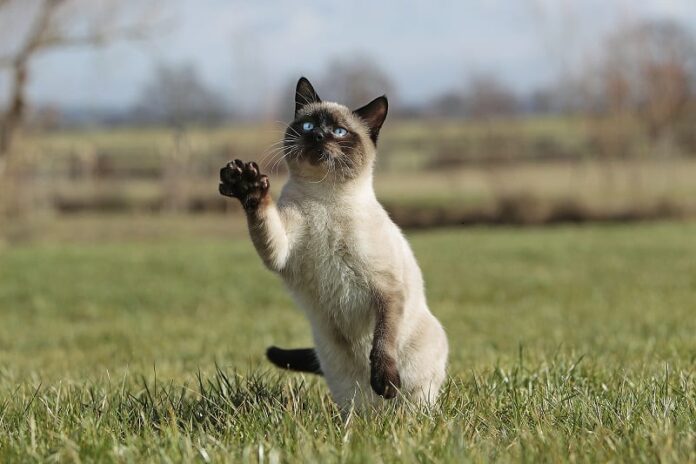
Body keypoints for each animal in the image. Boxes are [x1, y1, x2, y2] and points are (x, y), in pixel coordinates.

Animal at [218, 77, 448, 410]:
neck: (325, 197)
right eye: (308, 125)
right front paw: (246, 185)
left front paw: (384, 380)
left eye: (339, 132)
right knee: (358, 408)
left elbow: (382, 341)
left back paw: (397, 406)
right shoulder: (281, 249)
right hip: (342, 380)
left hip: (418, 378)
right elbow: (262, 215)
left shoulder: (387, 289)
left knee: (411, 405)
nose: (317, 135)